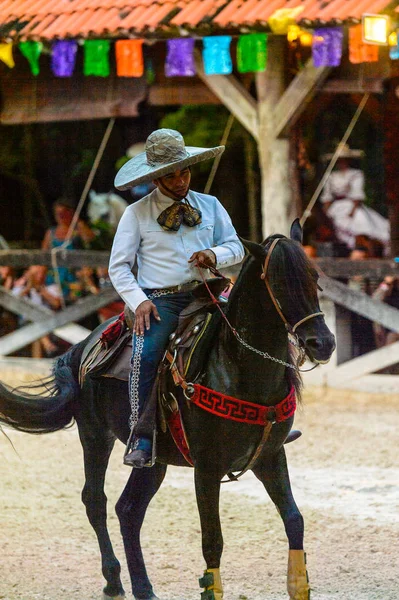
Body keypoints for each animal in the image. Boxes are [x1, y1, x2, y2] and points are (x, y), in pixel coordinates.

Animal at [0, 223, 336, 600]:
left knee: (128, 510)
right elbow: (212, 542)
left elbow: (294, 520)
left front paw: (299, 583)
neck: (238, 367)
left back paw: (143, 587)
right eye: (278, 282)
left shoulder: (270, 455)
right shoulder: (207, 467)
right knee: (95, 500)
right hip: (95, 435)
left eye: (314, 277)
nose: (323, 343)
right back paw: (114, 579)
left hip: (153, 459)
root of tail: (82, 347)